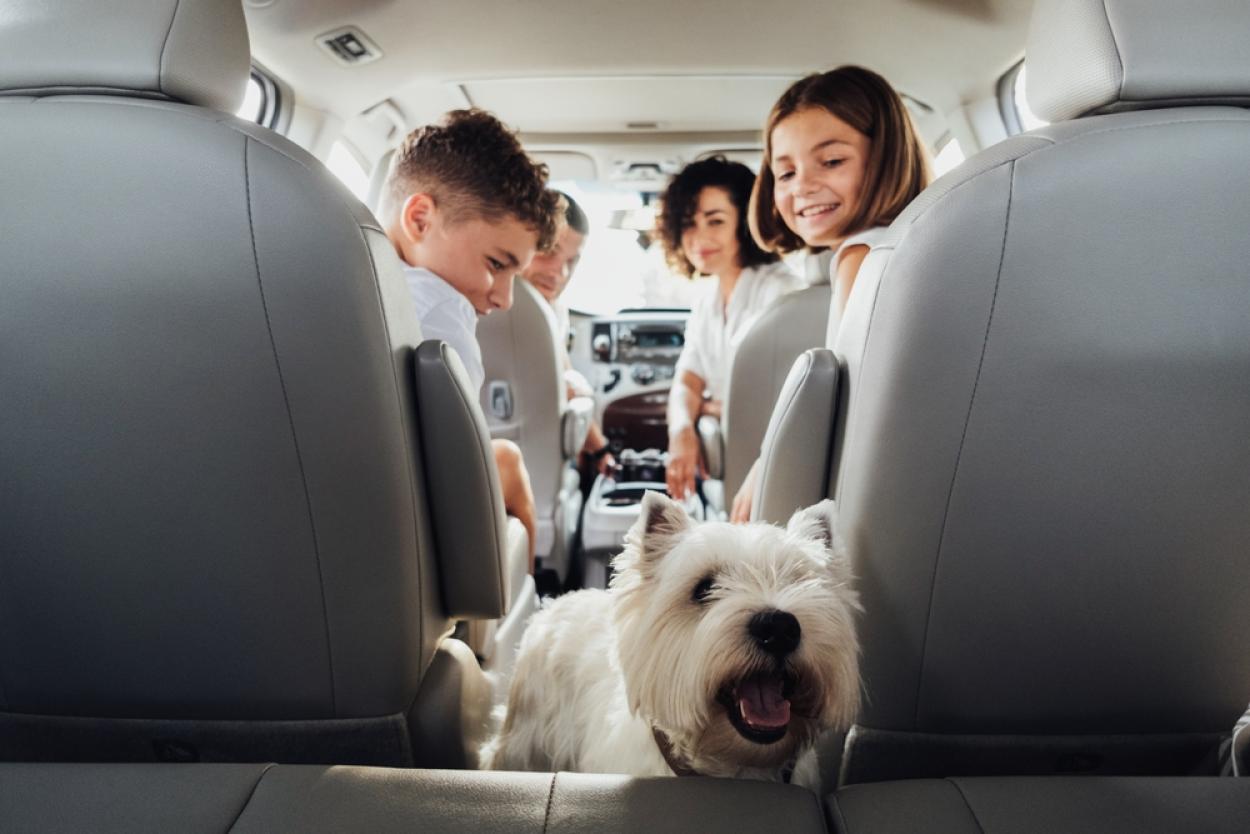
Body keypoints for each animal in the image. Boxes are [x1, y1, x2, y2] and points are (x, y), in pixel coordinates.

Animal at [485, 492, 860, 785]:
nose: (778, 628)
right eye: (704, 588)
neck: (738, 767)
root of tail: (557, 600)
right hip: (525, 737)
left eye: (802, 582)